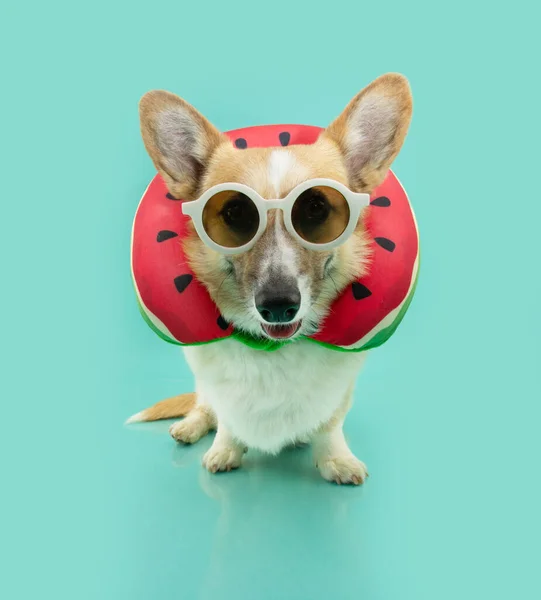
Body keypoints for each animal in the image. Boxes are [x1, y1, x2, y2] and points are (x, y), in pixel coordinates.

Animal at [127, 74, 414, 482]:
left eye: (316, 208)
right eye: (234, 212)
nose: (278, 306)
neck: (274, 349)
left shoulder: (338, 395)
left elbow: (329, 425)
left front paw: (335, 460)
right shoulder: (221, 391)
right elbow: (227, 421)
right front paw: (225, 450)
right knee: (202, 405)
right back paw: (191, 426)